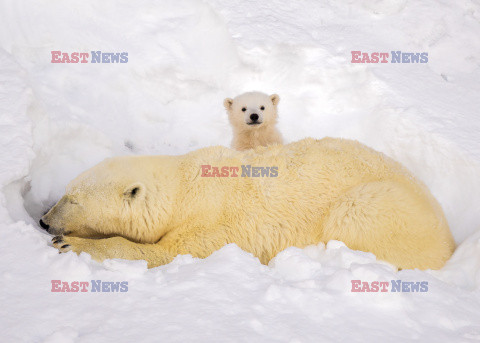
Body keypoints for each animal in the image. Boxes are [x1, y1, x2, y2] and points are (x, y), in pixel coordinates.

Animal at [40, 138, 454, 270]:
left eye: (72, 199)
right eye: (63, 192)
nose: (44, 220)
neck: (186, 186)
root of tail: (450, 238)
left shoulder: (214, 224)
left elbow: (169, 253)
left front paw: (70, 244)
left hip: (381, 205)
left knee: (353, 214)